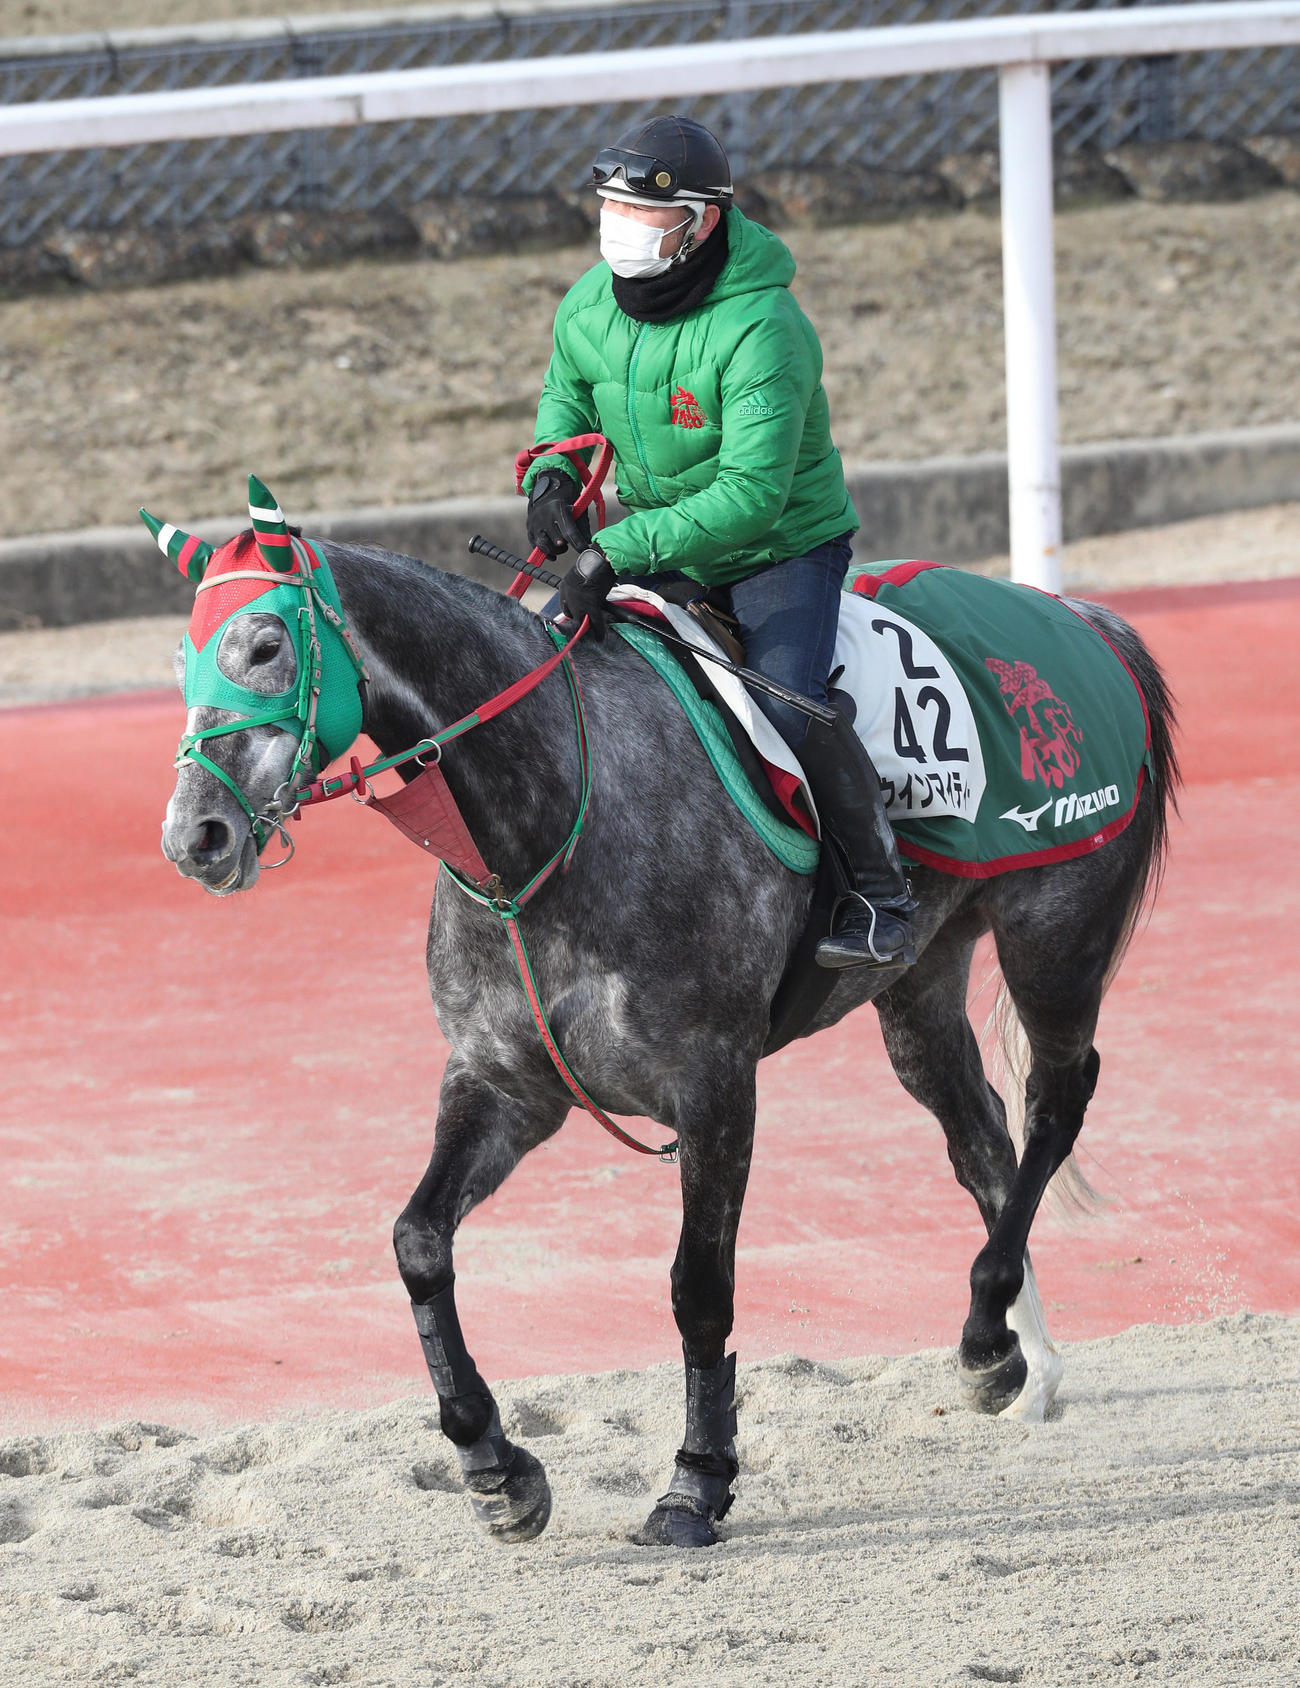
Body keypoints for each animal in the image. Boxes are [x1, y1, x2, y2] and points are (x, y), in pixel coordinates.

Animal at [157, 504, 1178, 1551]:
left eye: (266, 645)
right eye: (183, 657)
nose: (195, 835)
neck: (561, 813)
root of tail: (1092, 622)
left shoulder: (715, 1082)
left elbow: (699, 1288)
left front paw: (695, 1482)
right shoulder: (503, 1083)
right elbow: (417, 1242)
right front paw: (495, 1464)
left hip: (1055, 933)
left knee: (1054, 1105)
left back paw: (988, 1328)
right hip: (920, 983)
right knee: (981, 1139)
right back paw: (1015, 1356)